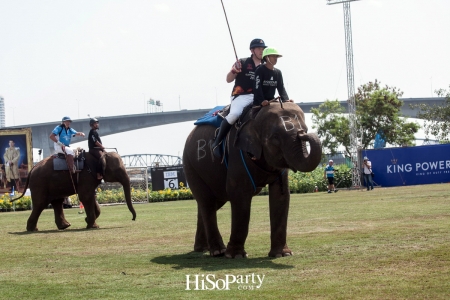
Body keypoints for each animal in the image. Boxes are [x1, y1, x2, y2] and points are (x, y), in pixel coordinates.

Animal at [181, 102, 322, 258]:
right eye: (275, 137)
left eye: (306, 129)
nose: (303, 133)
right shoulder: (236, 152)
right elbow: (239, 195)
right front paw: (236, 256)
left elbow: (281, 195)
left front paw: (282, 254)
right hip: (190, 166)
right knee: (207, 203)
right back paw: (218, 251)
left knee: (209, 203)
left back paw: (202, 249)